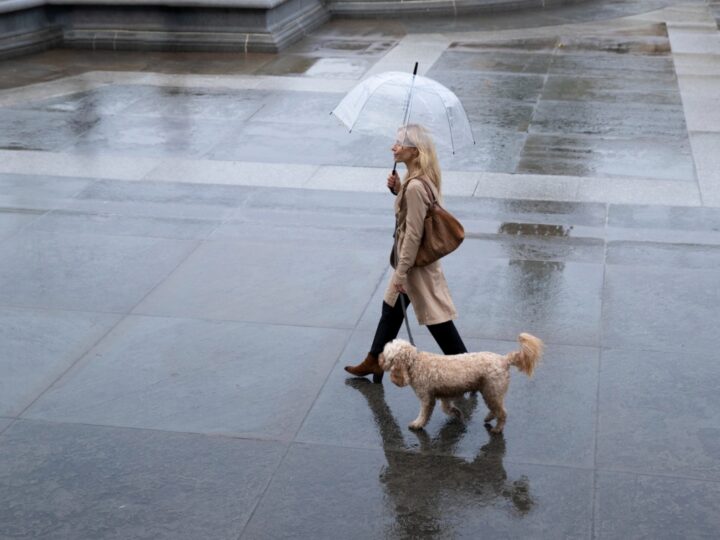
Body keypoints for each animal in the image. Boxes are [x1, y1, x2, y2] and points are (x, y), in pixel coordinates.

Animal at [380, 336, 544, 432]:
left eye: (386, 354)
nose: (379, 359)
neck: (415, 363)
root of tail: (504, 360)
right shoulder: (444, 394)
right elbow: (446, 408)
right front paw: (457, 413)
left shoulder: (427, 397)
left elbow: (424, 413)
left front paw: (417, 424)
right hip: (490, 391)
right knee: (496, 409)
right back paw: (489, 418)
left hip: (492, 391)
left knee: (502, 412)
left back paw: (497, 429)